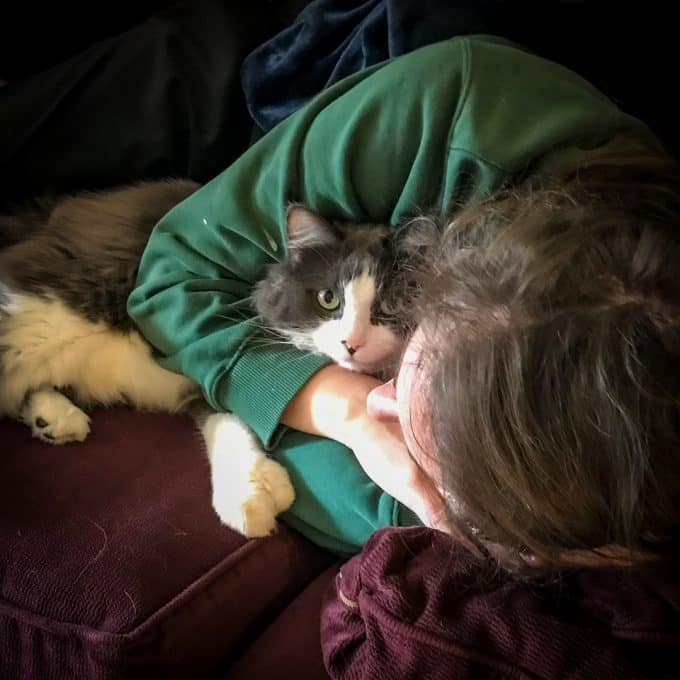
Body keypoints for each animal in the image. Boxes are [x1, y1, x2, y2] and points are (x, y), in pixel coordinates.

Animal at [0, 179, 414, 536]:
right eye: (329, 299)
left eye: (391, 307)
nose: (351, 342)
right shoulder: (205, 352)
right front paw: (251, 495)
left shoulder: (206, 379)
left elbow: (227, 414)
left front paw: (248, 491)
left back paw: (53, 418)